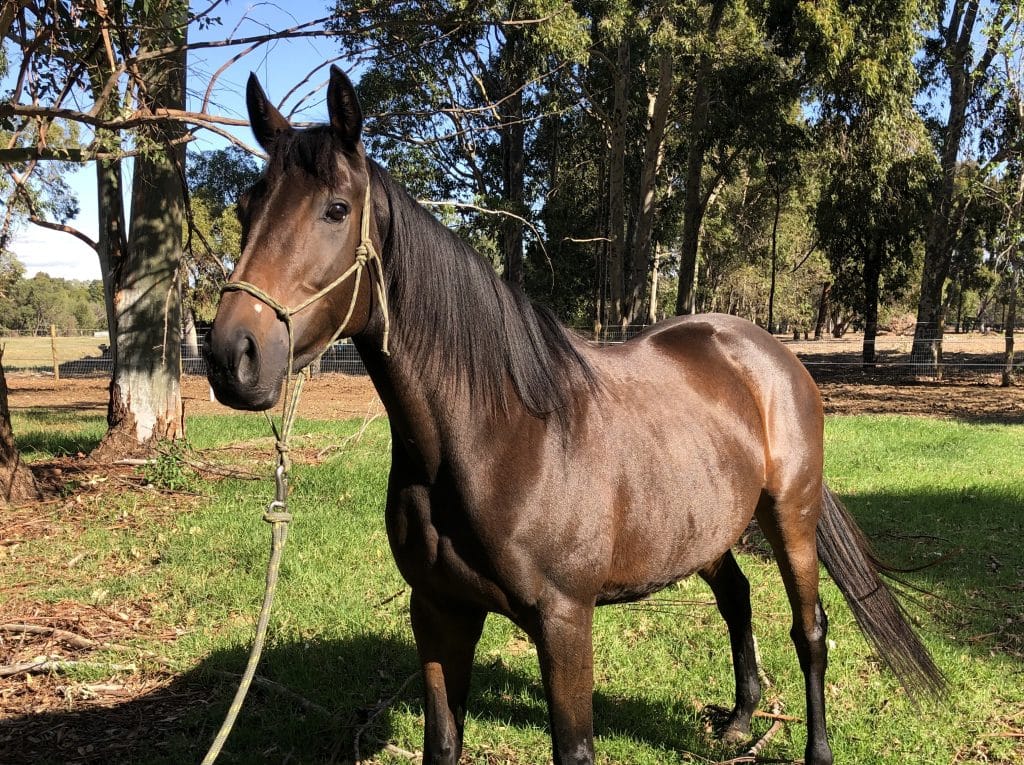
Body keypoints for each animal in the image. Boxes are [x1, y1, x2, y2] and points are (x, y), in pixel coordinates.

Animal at [205, 66, 944, 765]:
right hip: (706, 526)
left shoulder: (564, 621)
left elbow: (575, 746)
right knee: (736, 596)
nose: (232, 354)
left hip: (790, 513)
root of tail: (770, 354)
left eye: (336, 209)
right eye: (246, 206)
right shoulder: (439, 610)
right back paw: (738, 720)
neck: (496, 436)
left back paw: (815, 747)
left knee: (810, 628)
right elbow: (443, 742)